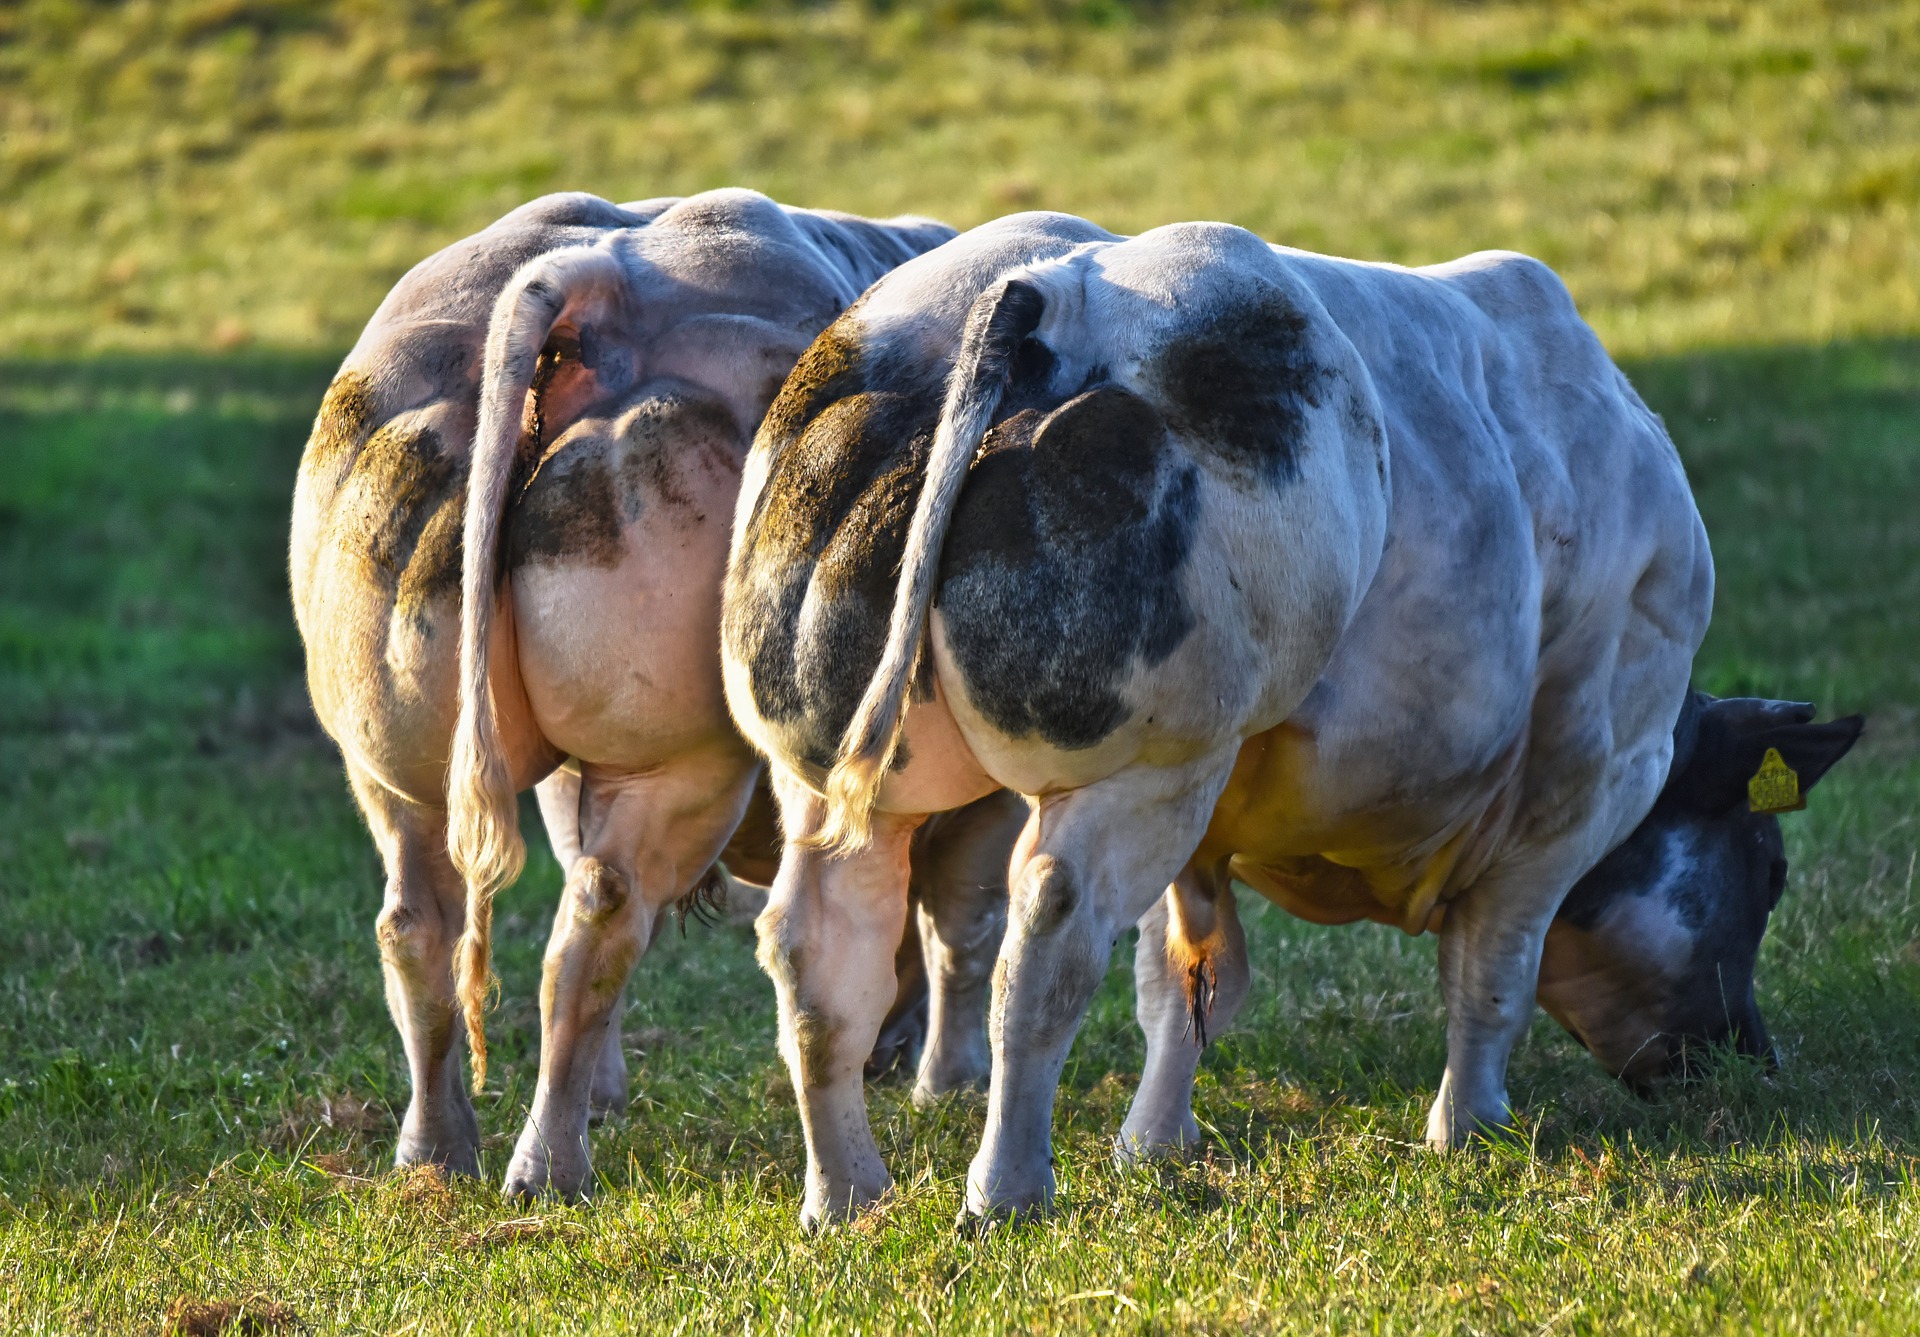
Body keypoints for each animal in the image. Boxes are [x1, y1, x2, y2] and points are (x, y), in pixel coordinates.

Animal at [718, 211, 1858, 1229]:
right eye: (1770, 871)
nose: (1746, 1056)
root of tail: (1047, 293)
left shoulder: (1213, 814)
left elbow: (1186, 984)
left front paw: (1153, 1143)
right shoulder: (1582, 777)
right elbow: (1494, 966)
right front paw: (1469, 1127)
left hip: (835, 778)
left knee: (818, 954)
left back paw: (846, 1196)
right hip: (1138, 768)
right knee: (1043, 948)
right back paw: (1005, 1191)